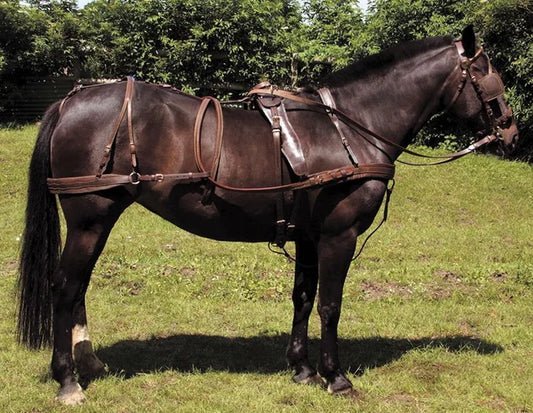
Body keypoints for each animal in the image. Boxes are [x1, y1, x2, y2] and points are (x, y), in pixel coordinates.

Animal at [17, 26, 520, 402]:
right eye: (487, 73)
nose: (512, 131)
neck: (348, 127)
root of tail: (70, 101)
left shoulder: (309, 236)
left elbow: (303, 298)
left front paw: (302, 369)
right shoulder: (338, 236)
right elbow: (330, 305)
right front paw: (336, 377)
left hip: (97, 220)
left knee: (78, 287)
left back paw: (89, 362)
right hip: (91, 219)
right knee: (65, 287)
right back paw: (69, 380)